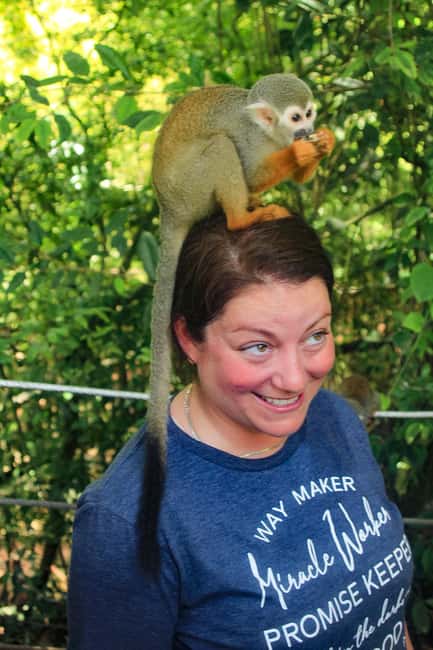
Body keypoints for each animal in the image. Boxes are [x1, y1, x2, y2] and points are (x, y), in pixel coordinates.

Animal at [142, 73, 335, 574]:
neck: (269, 132)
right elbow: (246, 162)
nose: (307, 129)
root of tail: (169, 209)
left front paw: (322, 145)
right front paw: (298, 155)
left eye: (310, 112)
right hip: (191, 187)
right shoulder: (252, 141)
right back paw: (240, 217)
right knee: (219, 149)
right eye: (294, 116)